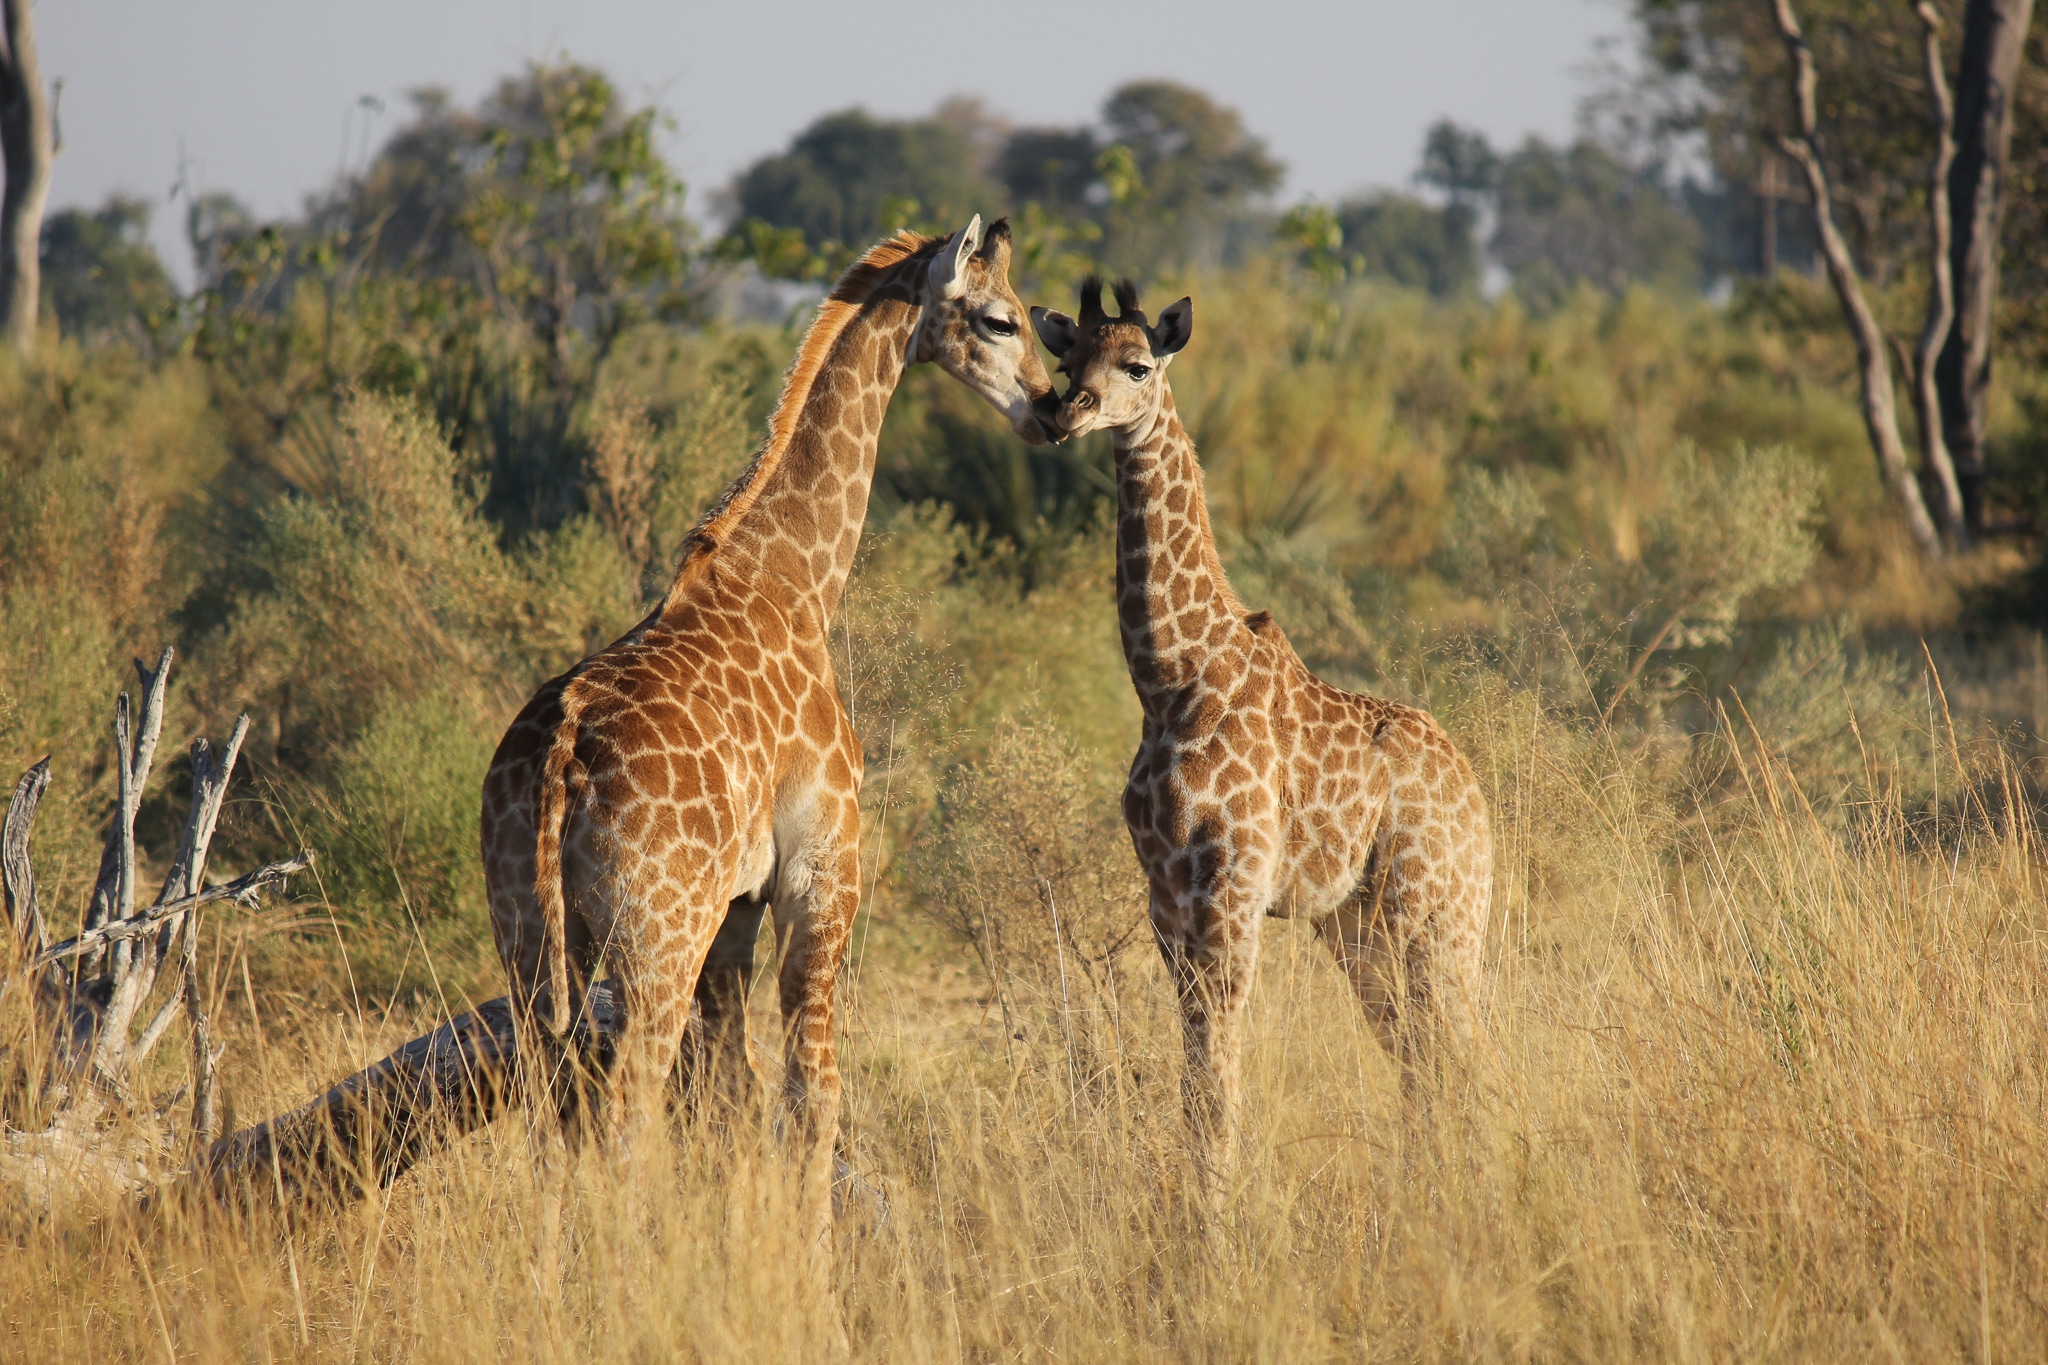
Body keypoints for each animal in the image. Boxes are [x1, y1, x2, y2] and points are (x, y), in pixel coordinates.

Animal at [482, 217, 1053, 1246]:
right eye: (1001, 318)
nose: (1054, 408)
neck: (794, 578)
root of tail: (556, 761)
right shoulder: (821, 873)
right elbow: (812, 1092)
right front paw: (810, 1261)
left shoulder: (738, 910)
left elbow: (733, 1096)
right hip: (654, 937)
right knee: (626, 1114)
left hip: (529, 937)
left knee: (557, 1118)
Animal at [1029, 279, 1491, 1205]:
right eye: (1068, 359)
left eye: (1138, 364)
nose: (1066, 413)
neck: (1169, 675)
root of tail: (1481, 810)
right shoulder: (1166, 897)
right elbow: (1196, 1063)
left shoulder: (1234, 887)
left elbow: (1217, 1070)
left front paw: (1216, 1218)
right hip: (1362, 927)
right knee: (1421, 1057)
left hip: (1438, 913)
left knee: (1465, 1051)